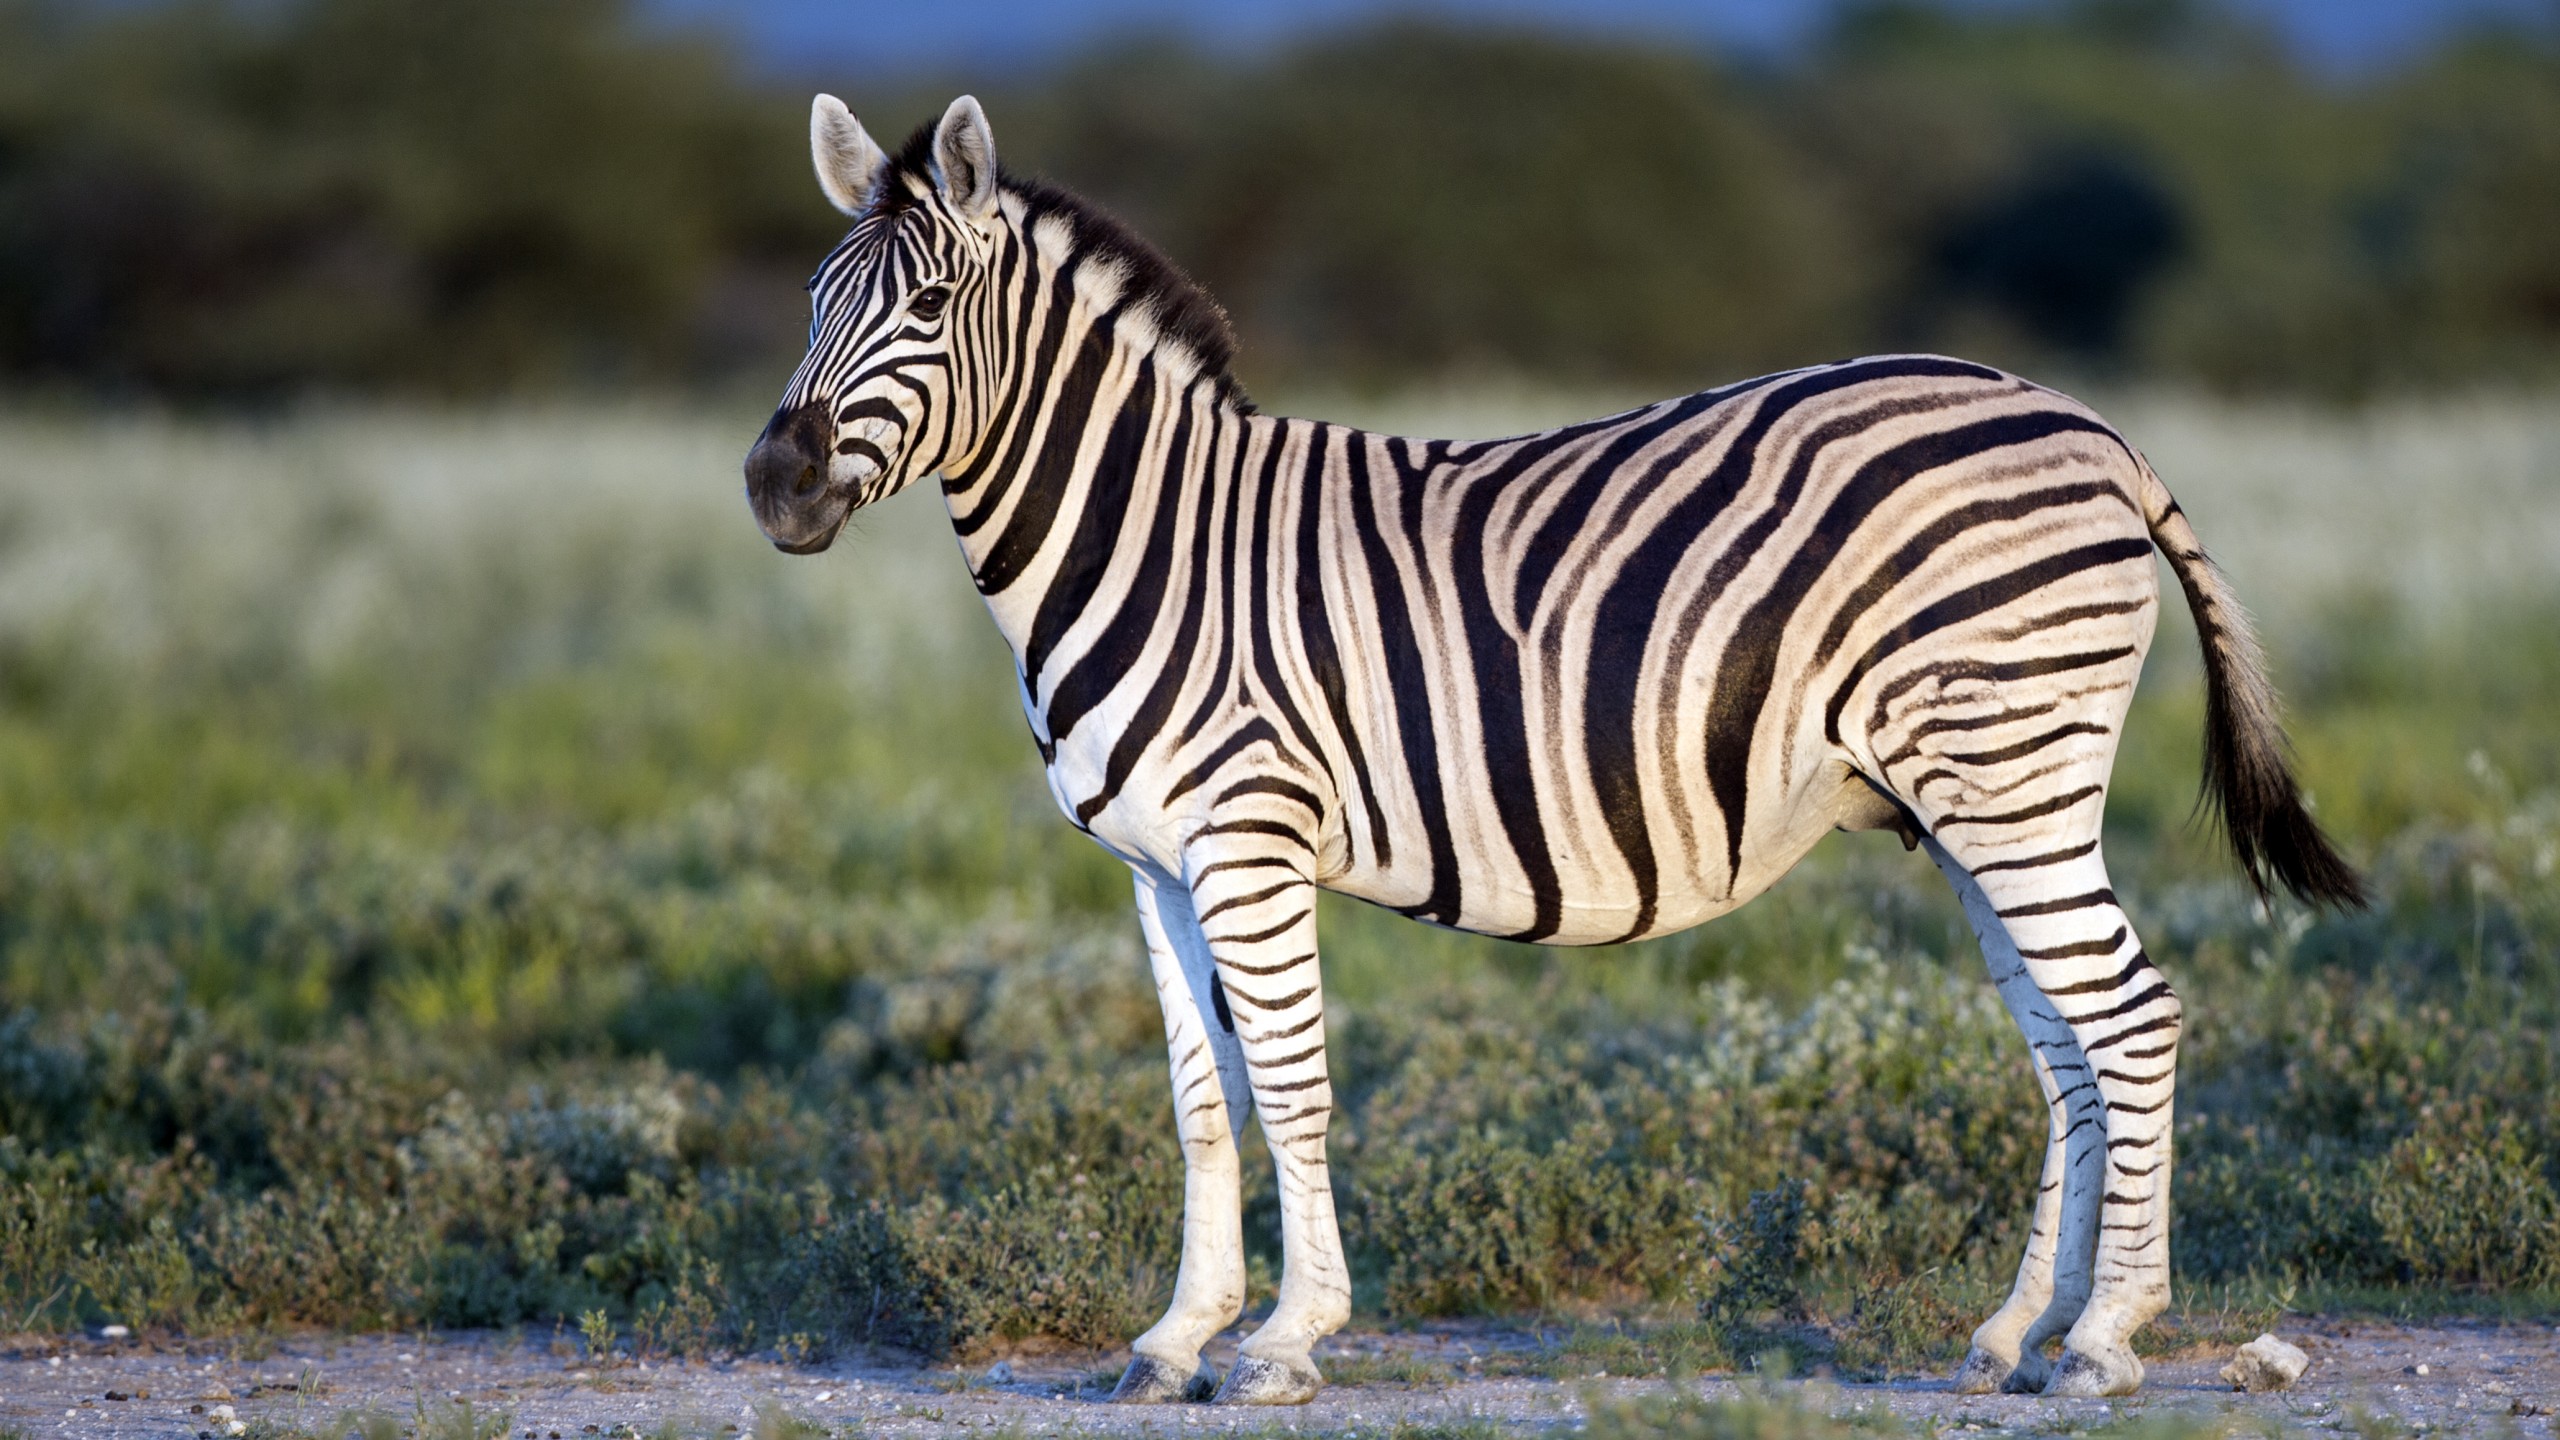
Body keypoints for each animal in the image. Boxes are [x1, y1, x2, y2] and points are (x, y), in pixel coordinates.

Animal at [743, 94, 2364, 1405]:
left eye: (929, 301)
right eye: (811, 300)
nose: (775, 483)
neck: (1151, 535)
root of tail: (2091, 427)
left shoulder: (1250, 839)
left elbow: (1291, 1085)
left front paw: (1281, 1343)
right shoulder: (1151, 863)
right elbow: (1204, 1104)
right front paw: (1174, 1338)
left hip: (2011, 770)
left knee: (2132, 1018)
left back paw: (2104, 1342)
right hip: (1977, 797)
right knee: (2070, 1049)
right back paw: (2017, 1332)